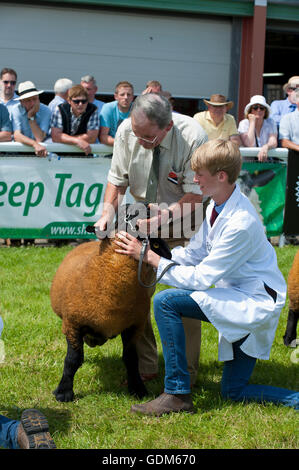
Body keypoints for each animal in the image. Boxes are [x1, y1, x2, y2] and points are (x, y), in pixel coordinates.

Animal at [51, 204, 171, 402]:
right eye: (122, 214)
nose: (147, 206)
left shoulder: (133, 327)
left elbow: (131, 359)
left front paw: (138, 389)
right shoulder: (72, 324)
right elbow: (72, 360)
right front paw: (63, 392)